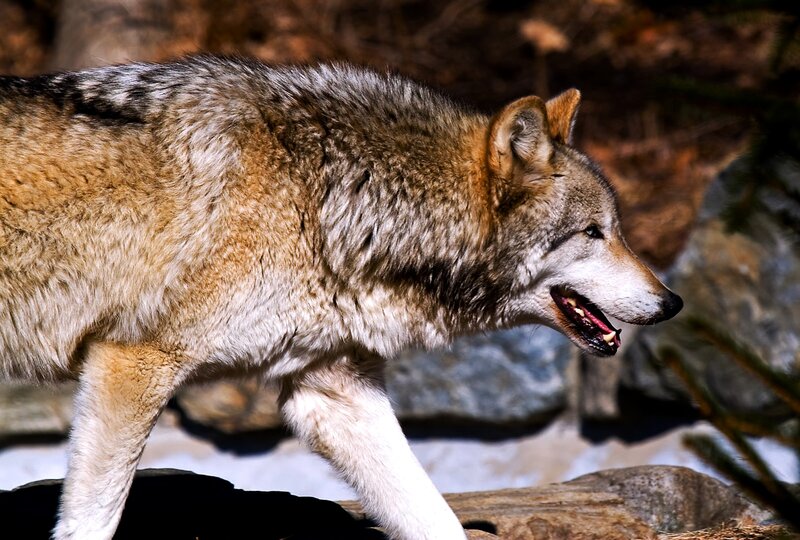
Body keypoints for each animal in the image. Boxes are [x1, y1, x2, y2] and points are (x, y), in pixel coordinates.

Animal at [0, 56, 682, 539]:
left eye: (616, 229)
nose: (672, 302)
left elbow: (435, 518)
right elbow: (92, 519)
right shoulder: (132, 362)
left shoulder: (334, 391)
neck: (320, 195)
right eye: (594, 233)